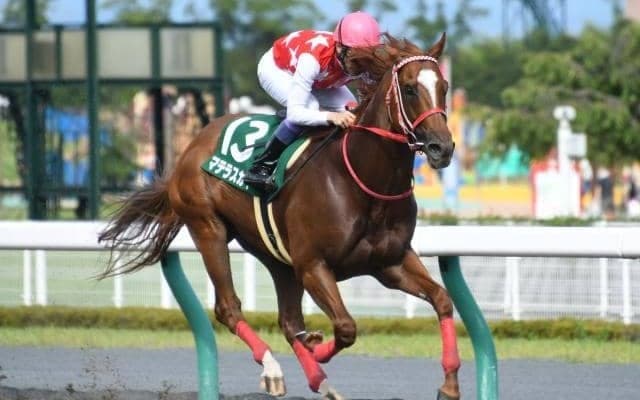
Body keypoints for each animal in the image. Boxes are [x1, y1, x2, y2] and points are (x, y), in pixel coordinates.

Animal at [99, 32, 460, 400]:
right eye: (411, 88)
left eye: (444, 86)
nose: (441, 148)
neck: (363, 180)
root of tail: (191, 148)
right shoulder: (313, 265)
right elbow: (345, 327)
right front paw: (315, 344)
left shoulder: (390, 262)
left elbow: (442, 300)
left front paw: (449, 385)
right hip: (208, 228)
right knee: (229, 307)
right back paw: (274, 369)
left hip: (275, 255)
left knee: (288, 321)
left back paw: (321, 382)